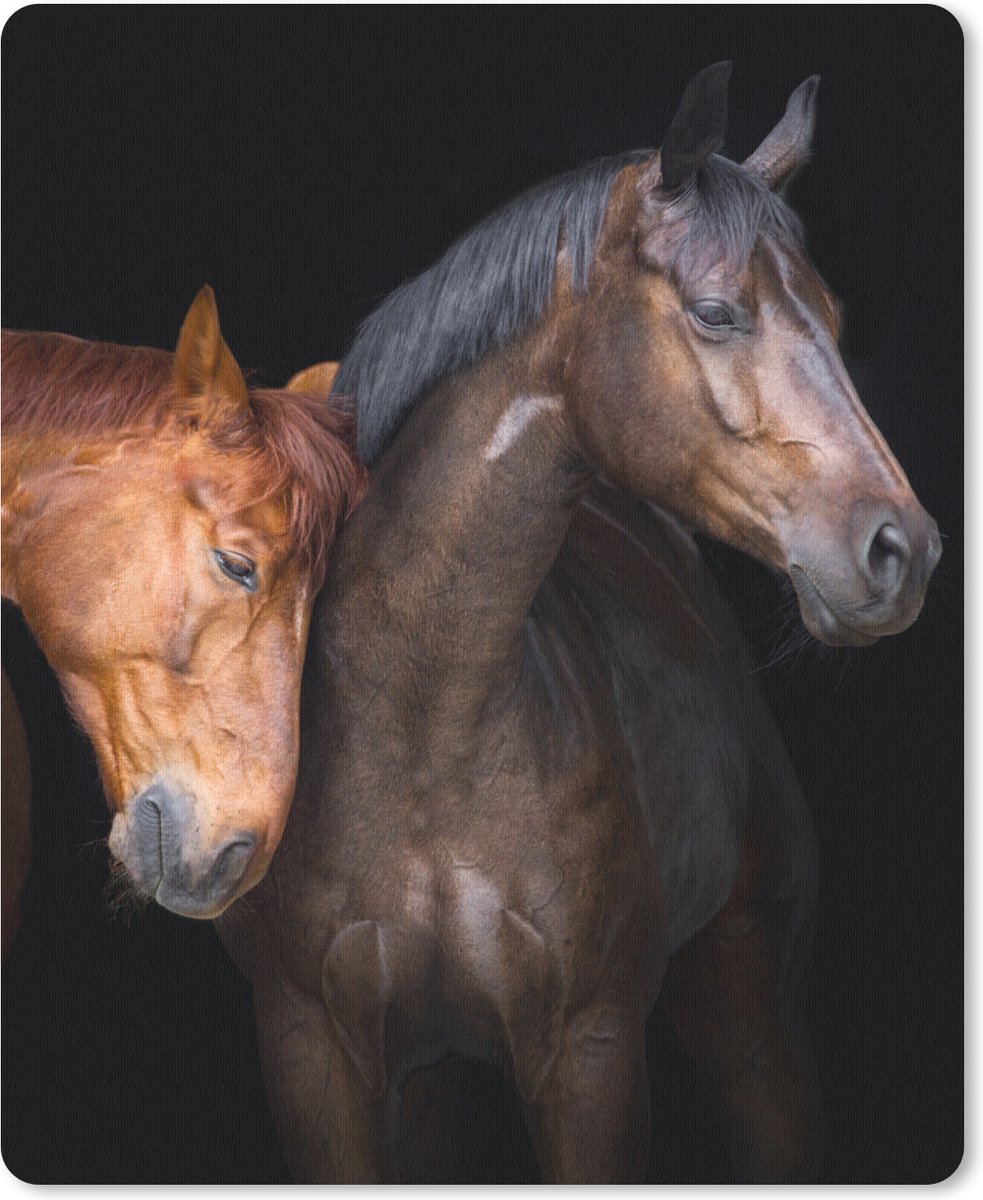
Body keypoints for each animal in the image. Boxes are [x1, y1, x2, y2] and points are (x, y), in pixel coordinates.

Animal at [215, 65, 941, 1182]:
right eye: (716, 312)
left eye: (829, 312)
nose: (900, 550)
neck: (422, 726)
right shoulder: (311, 1052)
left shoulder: (589, 1054)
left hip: (753, 1022)